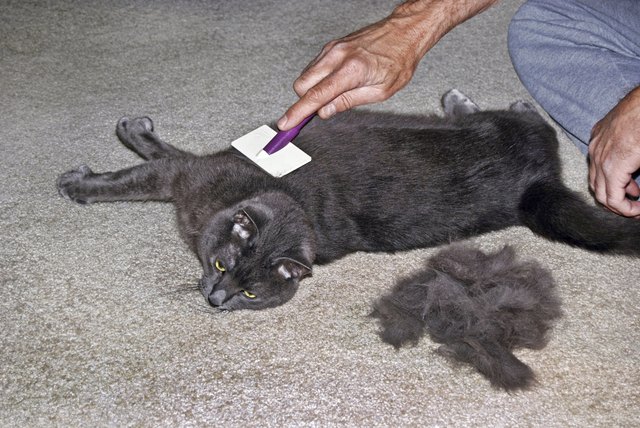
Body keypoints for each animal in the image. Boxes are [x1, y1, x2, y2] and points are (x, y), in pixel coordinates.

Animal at [57, 91, 640, 310]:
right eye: (222, 264)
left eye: (250, 293)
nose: (217, 299)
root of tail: (535, 186)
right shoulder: (194, 175)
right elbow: (149, 161)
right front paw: (124, 139)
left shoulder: (187, 176)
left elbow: (143, 170)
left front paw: (78, 183)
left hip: (508, 131)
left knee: (533, 119)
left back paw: (481, 99)